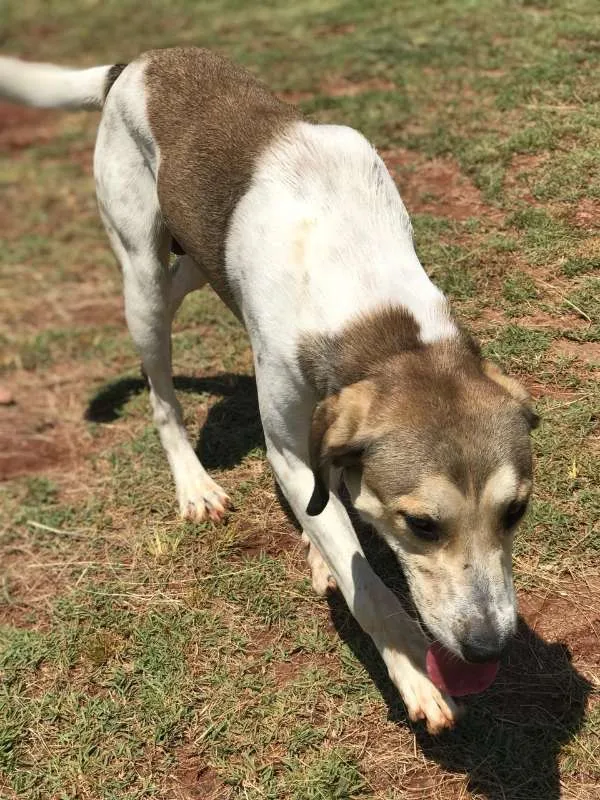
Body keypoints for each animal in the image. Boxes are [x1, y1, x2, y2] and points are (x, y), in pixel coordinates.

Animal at [0, 50, 536, 736]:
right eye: (420, 523)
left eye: (515, 511)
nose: (489, 647)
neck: (375, 315)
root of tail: (138, 62)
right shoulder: (286, 445)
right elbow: (367, 586)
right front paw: (414, 670)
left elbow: (328, 505)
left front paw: (321, 548)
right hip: (140, 276)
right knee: (161, 390)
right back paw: (193, 483)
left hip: (194, 259)